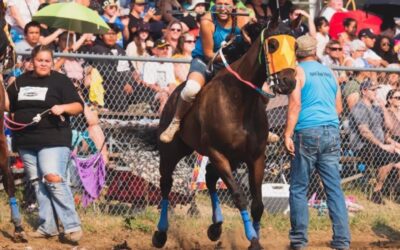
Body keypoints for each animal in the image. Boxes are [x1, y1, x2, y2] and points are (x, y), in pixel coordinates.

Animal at [152, 16, 296, 250]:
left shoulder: (255, 156)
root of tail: (172, 95)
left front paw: (254, 239)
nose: (289, 82)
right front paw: (252, 238)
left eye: (295, 46)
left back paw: (216, 226)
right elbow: (239, 196)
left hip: (233, 157)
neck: (239, 99)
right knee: (166, 183)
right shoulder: (216, 152)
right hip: (172, 152)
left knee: (210, 177)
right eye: (273, 44)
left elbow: (257, 204)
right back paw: (161, 233)